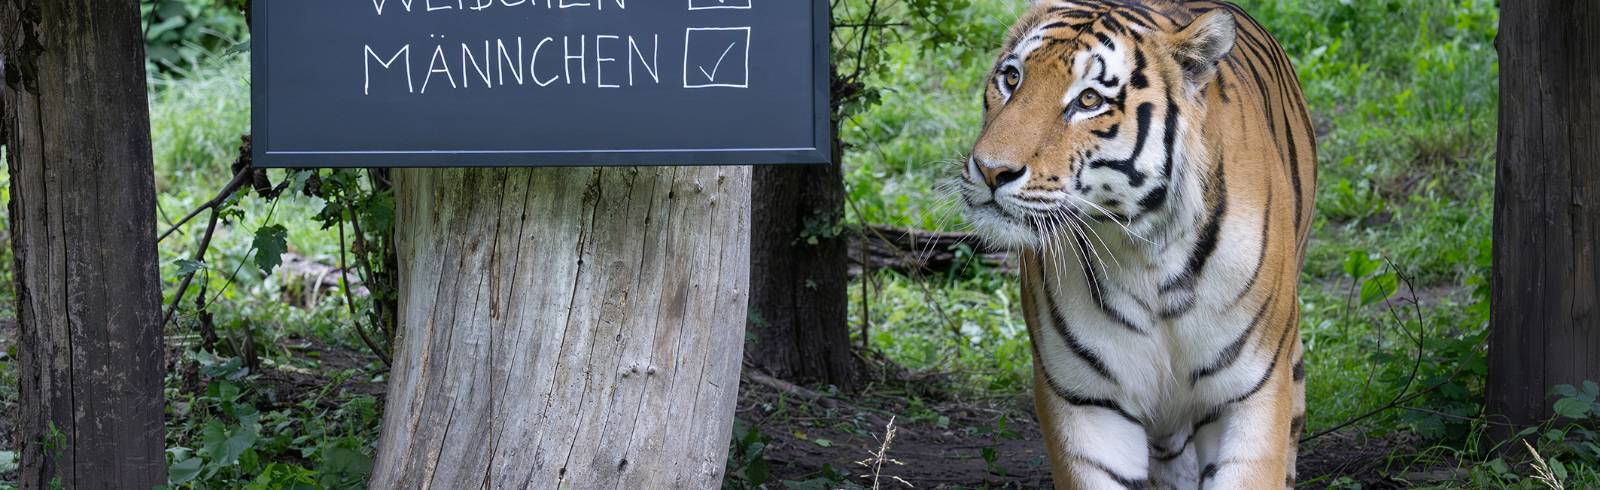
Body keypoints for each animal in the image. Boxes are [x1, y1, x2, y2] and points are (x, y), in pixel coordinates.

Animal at [953, 0, 1318, 490]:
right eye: (1011, 77)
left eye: (1089, 100)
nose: (991, 170)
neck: (1146, 252)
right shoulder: (1088, 400)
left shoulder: (1248, 394)